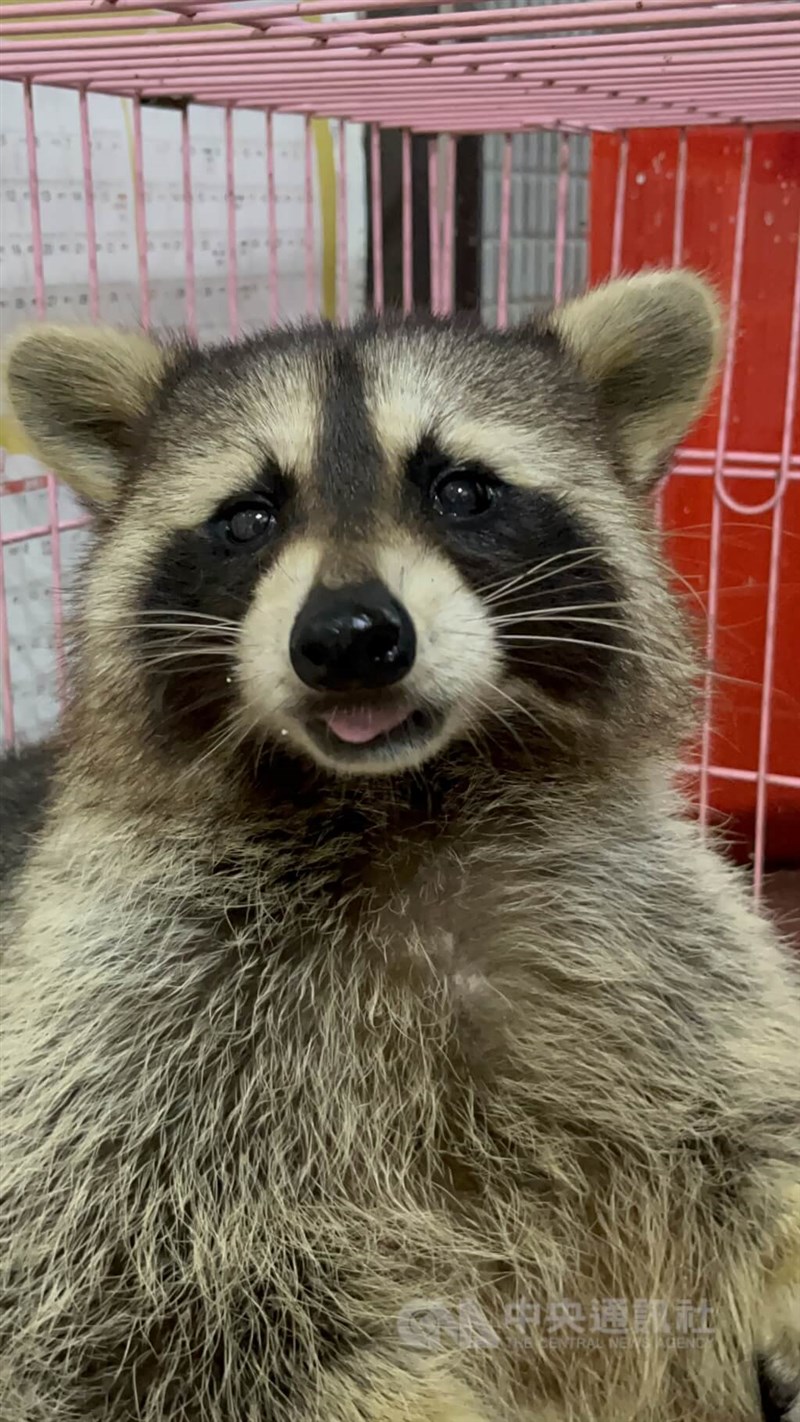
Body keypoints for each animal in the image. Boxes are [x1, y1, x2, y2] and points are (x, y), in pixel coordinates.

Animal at [1, 273, 798, 1422]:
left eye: (462, 490)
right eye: (248, 517)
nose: (348, 638)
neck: (397, 804)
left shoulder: (651, 922)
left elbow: (752, 1118)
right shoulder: (108, 1012)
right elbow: (131, 1330)